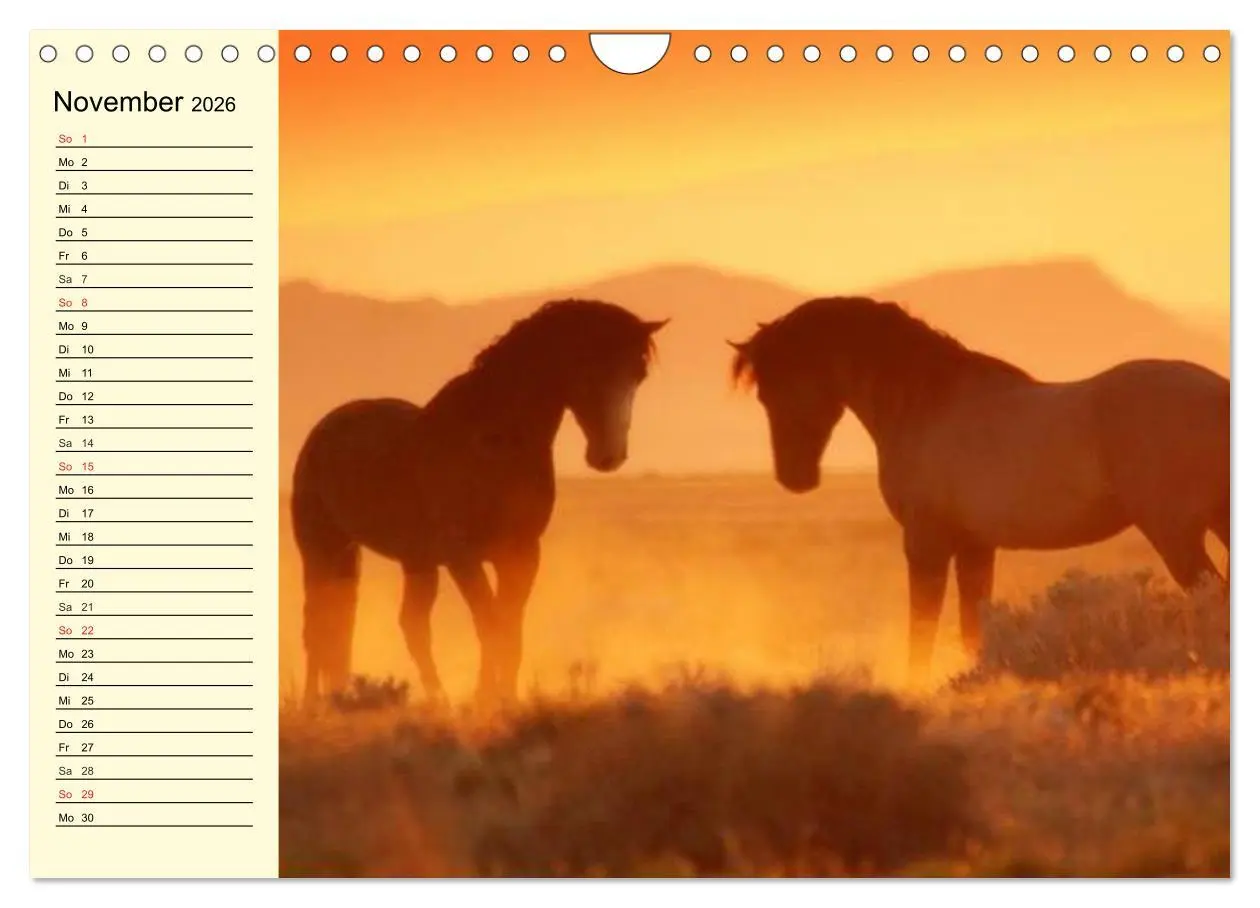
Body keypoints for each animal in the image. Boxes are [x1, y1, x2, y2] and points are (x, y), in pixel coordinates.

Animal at [292, 299, 667, 708]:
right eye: (589, 366)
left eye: (638, 375)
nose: (609, 456)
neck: (494, 444)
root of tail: (324, 429)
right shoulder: (464, 558)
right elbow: (489, 624)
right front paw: (486, 701)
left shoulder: (520, 554)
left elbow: (510, 629)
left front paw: (503, 700)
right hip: (321, 550)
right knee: (319, 622)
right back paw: (314, 703)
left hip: (412, 562)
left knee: (405, 625)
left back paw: (434, 701)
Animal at [730, 296, 1229, 682]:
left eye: (776, 391)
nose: (794, 478)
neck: (926, 402)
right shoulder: (975, 546)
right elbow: (974, 625)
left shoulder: (926, 543)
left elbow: (924, 624)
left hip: (1175, 534)